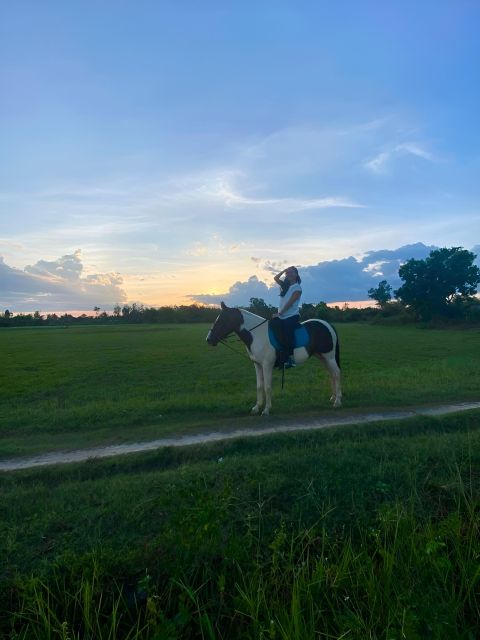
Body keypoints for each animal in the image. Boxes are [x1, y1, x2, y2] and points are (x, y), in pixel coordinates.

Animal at [206, 302, 342, 415]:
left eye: (221, 320)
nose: (209, 339)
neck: (257, 335)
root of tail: (327, 324)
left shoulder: (267, 365)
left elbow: (267, 387)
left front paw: (266, 409)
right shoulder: (257, 365)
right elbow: (259, 386)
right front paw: (256, 407)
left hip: (329, 357)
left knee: (336, 374)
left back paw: (337, 401)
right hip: (322, 357)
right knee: (331, 374)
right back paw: (333, 398)